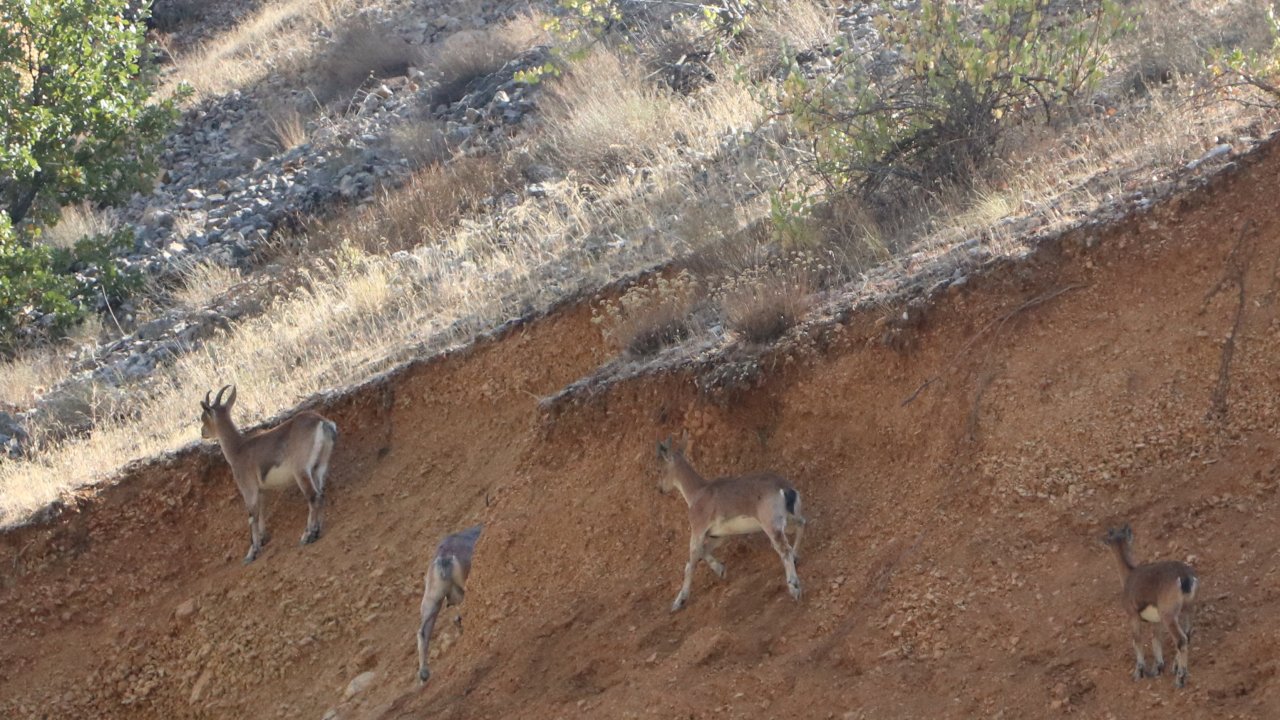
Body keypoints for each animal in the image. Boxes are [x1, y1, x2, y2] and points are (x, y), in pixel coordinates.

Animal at [199, 384, 340, 563]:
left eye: (204, 417)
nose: (202, 432)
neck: (238, 449)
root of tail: (321, 422)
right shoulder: (261, 491)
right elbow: (261, 513)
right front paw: (262, 539)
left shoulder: (249, 489)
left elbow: (252, 516)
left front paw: (252, 553)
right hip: (319, 467)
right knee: (321, 494)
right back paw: (316, 531)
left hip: (302, 471)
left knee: (313, 496)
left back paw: (308, 535)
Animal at [655, 430, 803, 609]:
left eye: (660, 470)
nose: (660, 489)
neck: (697, 493)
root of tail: (785, 489)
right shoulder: (720, 535)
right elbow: (703, 552)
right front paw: (721, 569)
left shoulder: (698, 529)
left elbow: (691, 562)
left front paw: (678, 601)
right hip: (789, 518)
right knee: (802, 524)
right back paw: (796, 557)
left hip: (771, 524)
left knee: (784, 549)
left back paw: (794, 587)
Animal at [1100, 520, 1198, 681]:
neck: (1129, 576)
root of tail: (1184, 578)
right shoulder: (1156, 621)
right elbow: (1155, 640)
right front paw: (1157, 668)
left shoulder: (1133, 615)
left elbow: (1137, 640)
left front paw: (1139, 671)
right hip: (1186, 610)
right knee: (1187, 635)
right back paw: (1175, 667)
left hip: (1168, 615)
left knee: (1181, 639)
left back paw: (1180, 677)